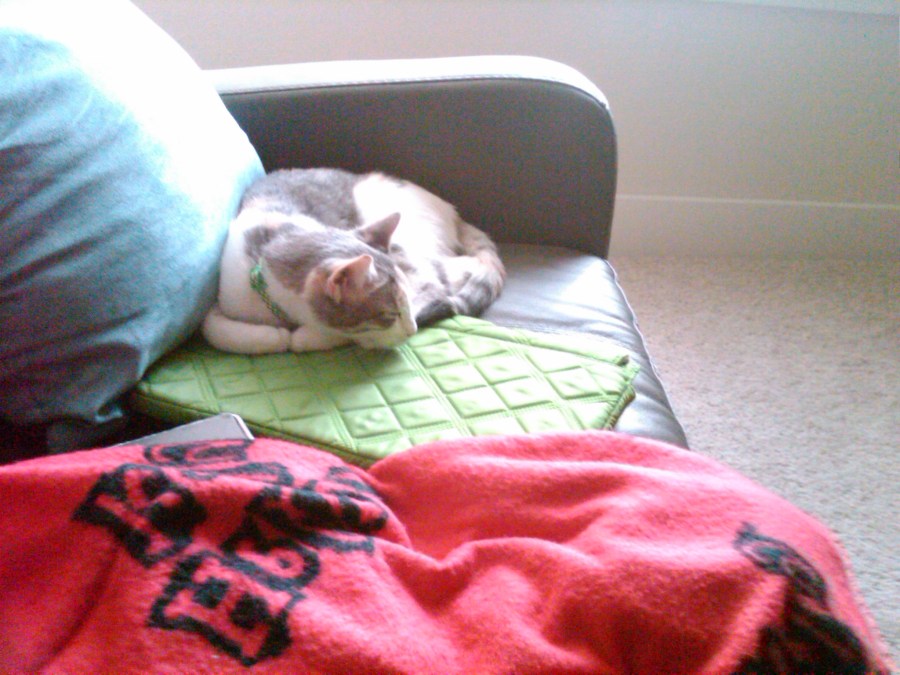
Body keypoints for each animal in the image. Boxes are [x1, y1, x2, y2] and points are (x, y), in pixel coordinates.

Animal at [201, 168, 506, 354]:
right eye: (390, 313)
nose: (411, 328)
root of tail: (452, 212)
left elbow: (330, 336)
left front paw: (301, 337)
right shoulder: (227, 298)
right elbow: (214, 329)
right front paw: (275, 338)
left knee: (446, 279)